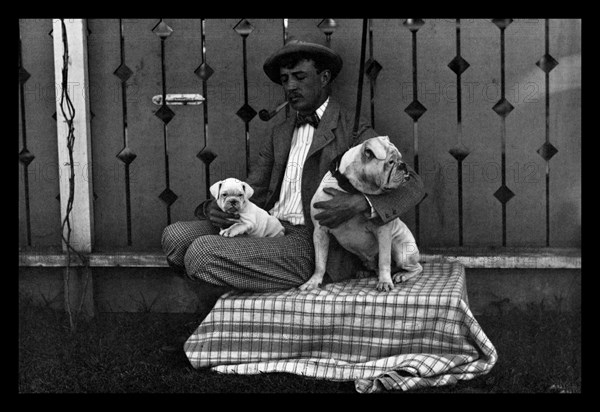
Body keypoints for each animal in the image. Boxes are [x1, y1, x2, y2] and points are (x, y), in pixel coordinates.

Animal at [298, 137, 422, 292]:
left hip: (401, 251)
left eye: (400, 159)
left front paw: (385, 282)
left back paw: (402, 275)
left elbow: (384, 260)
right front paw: (313, 281)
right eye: (391, 162)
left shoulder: (383, 231)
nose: (403, 165)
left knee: (417, 267)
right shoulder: (320, 231)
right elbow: (320, 262)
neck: (351, 187)